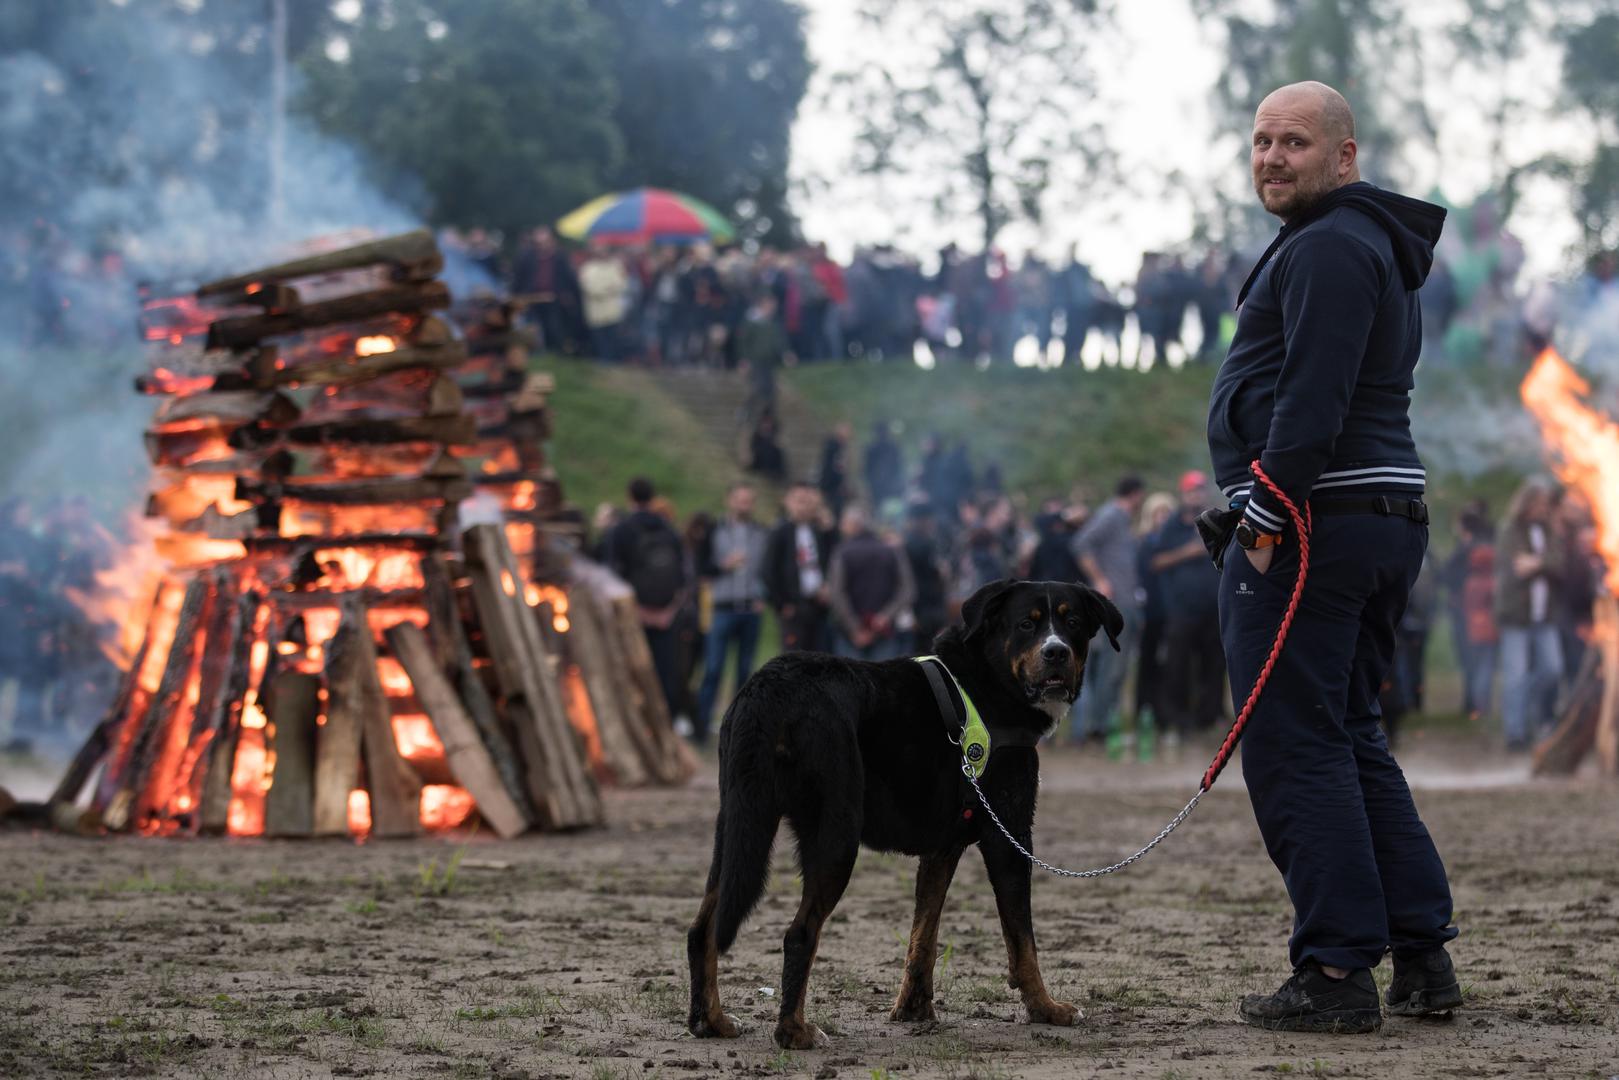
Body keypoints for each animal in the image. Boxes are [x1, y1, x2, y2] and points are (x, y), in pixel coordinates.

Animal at [686, 582, 1126, 1049]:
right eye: (1027, 623)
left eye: (1072, 622)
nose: (1056, 651)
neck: (988, 681)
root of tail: (770, 686)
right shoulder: (1009, 836)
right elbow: (1022, 940)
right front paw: (1045, 1008)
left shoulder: (942, 849)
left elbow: (924, 935)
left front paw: (914, 1008)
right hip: (833, 836)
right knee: (798, 934)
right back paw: (794, 1032)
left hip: (739, 825)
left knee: (704, 928)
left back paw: (711, 1021)